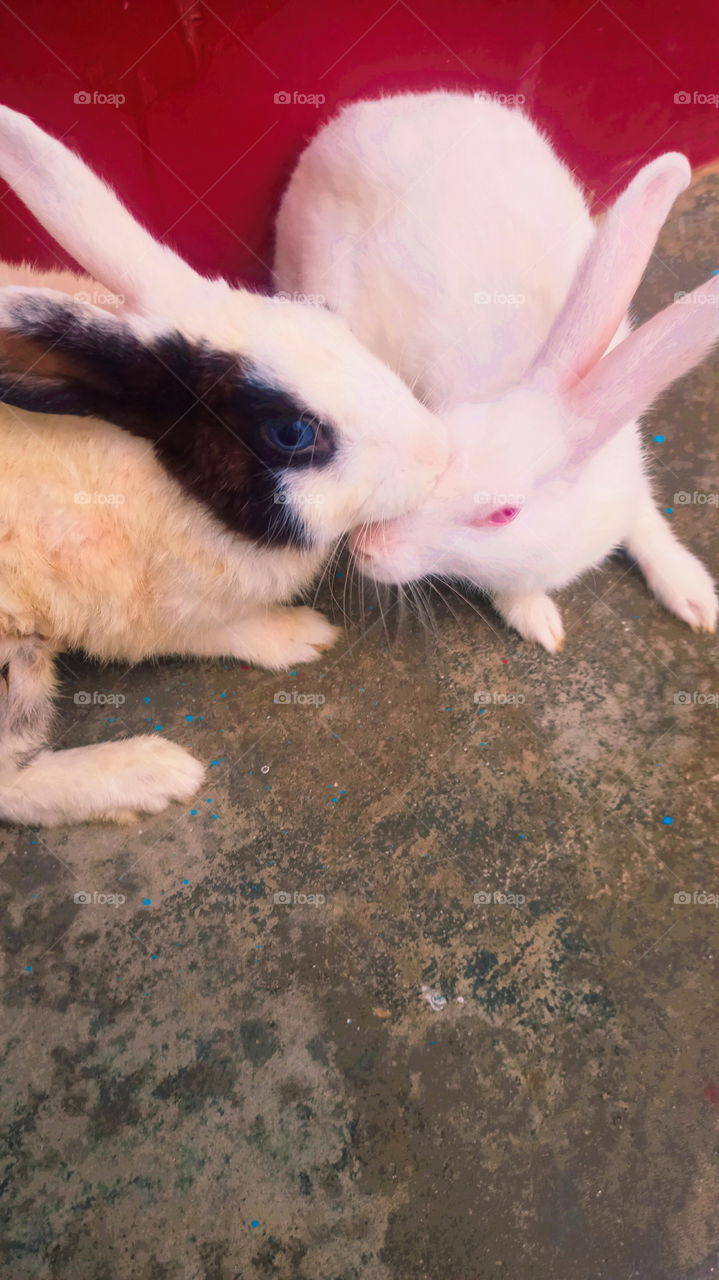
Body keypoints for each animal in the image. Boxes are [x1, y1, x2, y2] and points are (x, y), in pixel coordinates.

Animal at [0, 104, 448, 826]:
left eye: (326, 319)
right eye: (292, 433)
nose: (439, 452)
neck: (166, 480)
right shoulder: (141, 615)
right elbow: (224, 629)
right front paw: (299, 636)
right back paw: (150, 771)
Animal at [274, 90, 718, 652]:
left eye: (502, 514)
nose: (365, 549)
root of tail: (355, 116)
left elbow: (649, 526)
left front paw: (695, 597)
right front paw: (539, 621)